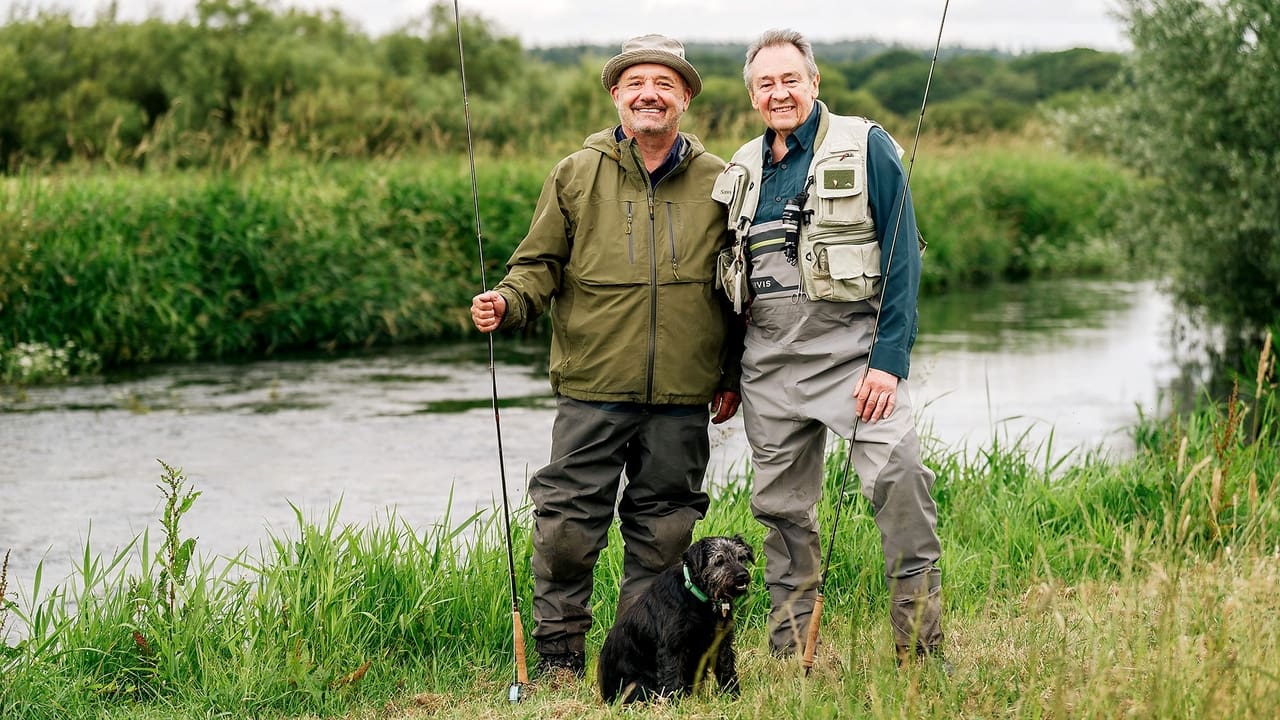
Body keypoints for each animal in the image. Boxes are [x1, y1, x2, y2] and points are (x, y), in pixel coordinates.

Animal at [596, 532, 752, 702]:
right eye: (719, 561)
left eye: (741, 557)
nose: (742, 576)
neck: (697, 595)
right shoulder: (672, 648)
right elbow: (672, 679)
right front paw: (671, 704)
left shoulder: (722, 643)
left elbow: (727, 671)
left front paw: (734, 697)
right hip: (641, 683)